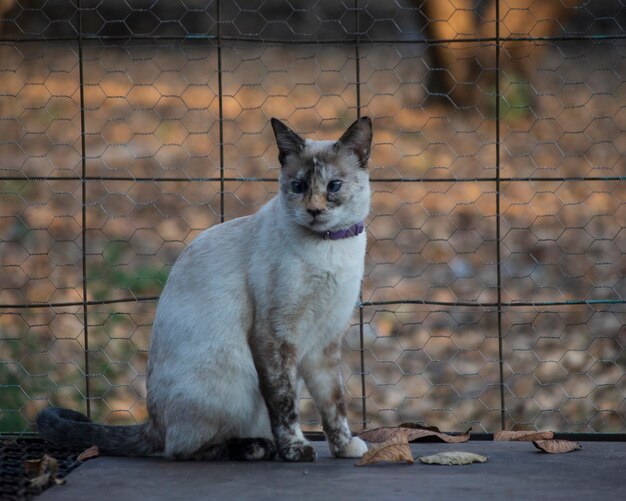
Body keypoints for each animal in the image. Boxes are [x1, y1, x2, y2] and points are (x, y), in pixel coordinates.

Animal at [37, 116, 370, 460]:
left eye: (333, 186)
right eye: (299, 186)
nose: (314, 210)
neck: (329, 246)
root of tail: (152, 423)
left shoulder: (325, 341)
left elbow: (334, 404)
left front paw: (345, 447)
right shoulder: (275, 335)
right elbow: (285, 404)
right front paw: (296, 449)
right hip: (231, 380)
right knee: (181, 449)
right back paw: (257, 448)